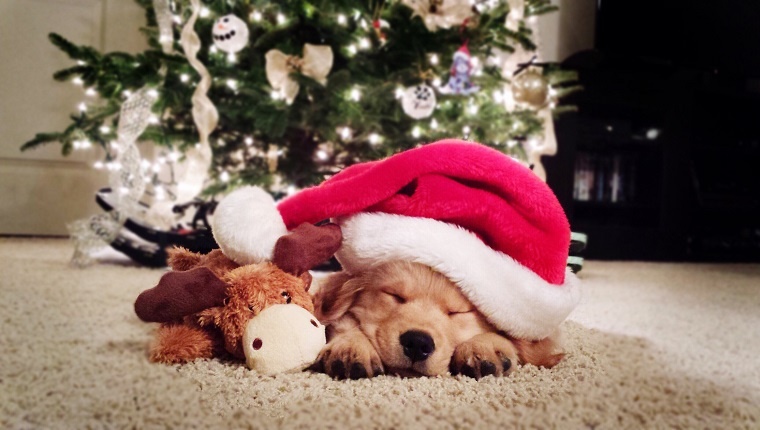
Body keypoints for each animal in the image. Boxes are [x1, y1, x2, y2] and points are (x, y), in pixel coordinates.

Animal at [308, 262, 564, 380]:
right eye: (395, 296)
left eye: (456, 312)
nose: (417, 343)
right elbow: (345, 322)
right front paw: (351, 347)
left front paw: (484, 347)